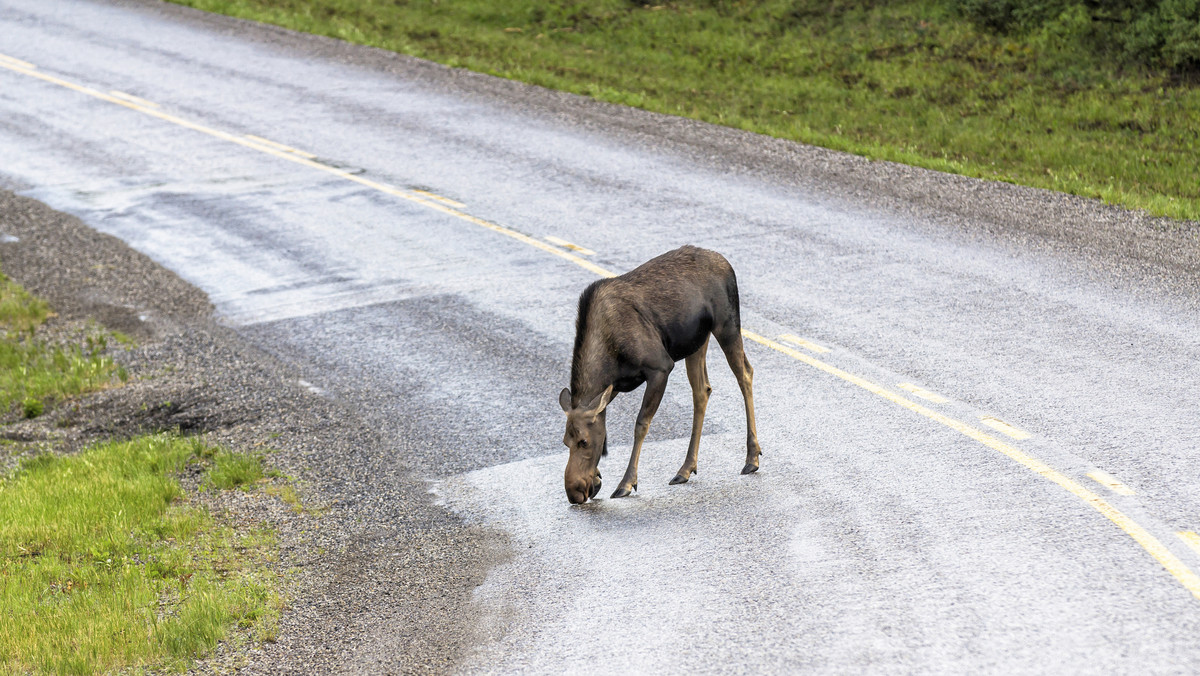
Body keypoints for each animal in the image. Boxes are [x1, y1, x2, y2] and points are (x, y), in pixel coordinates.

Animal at [559, 246, 758, 504]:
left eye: (584, 441)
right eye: (565, 441)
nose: (573, 493)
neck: (608, 360)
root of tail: (725, 262)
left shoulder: (660, 366)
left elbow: (641, 423)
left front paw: (626, 483)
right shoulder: (613, 386)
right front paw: (597, 478)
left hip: (727, 325)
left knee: (745, 373)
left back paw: (752, 458)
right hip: (696, 342)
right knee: (702, 390)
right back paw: (685, 469)